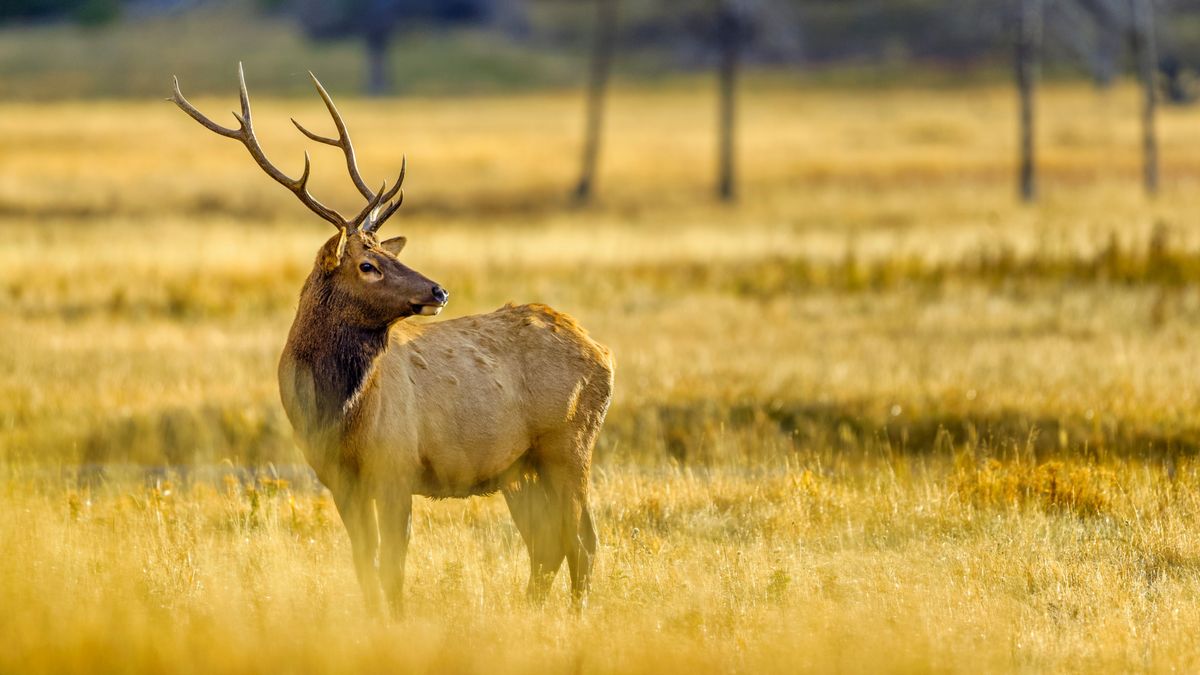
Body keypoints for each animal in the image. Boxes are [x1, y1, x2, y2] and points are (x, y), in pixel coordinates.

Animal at [171, 65, 619, 612]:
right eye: (368, 264)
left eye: (388, 253)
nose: (438, 289)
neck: (338, 414)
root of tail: (603, 353)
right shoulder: (337, 478)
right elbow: (364, 563)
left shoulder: (396, 467)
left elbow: (393, 565)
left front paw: (399, 620)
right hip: (521, 466)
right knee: (547, 545)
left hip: (569, 444)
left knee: (582, 540)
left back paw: (574, 615)